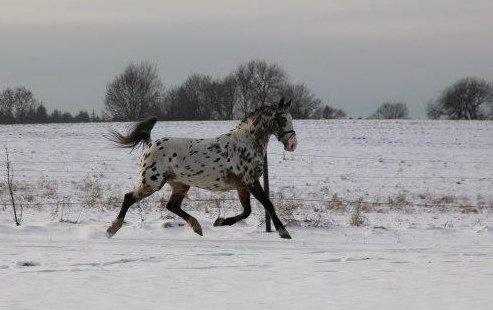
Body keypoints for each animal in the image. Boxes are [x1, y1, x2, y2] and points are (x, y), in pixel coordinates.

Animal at [106, 98, 296, 239]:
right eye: (282, 119)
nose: (292, 145)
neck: (246, 143)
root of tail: (151, 145)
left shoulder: (242, 186)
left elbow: (247, 211)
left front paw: (220, 222)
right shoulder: (250, 182)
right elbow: (268, 205)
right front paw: (284, 232)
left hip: (180, 184)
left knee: (172, 206)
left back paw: (197, 227)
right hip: (151, 183)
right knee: (128, 198)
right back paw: (112, 229)